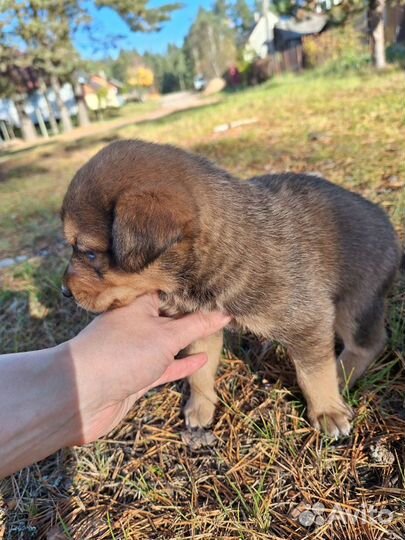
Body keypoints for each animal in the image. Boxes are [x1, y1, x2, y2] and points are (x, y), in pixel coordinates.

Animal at [60, 140, 400, 438]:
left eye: (89, 253)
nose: (65, 292)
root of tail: (387, 223)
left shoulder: (308, 319)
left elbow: (313, 374)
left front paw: (327, 411)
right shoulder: (198, 327)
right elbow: (199, 371)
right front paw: (200, 407)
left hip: (356, 301)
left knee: (369, 343)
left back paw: (341, 374)